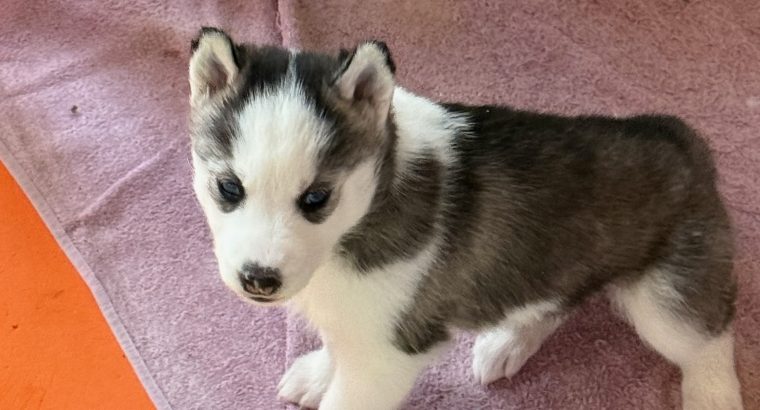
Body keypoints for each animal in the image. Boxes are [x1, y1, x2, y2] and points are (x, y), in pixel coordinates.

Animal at [189, 28, 744, 410]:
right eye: (229, 188)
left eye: (316, 198)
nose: (259, 280)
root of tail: (682, 138)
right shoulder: (361, 319)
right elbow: (336, 339)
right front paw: (318, 370)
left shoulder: (390, 354)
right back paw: (508, 343)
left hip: (666, 296)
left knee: (709, 340)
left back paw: (712, 396)